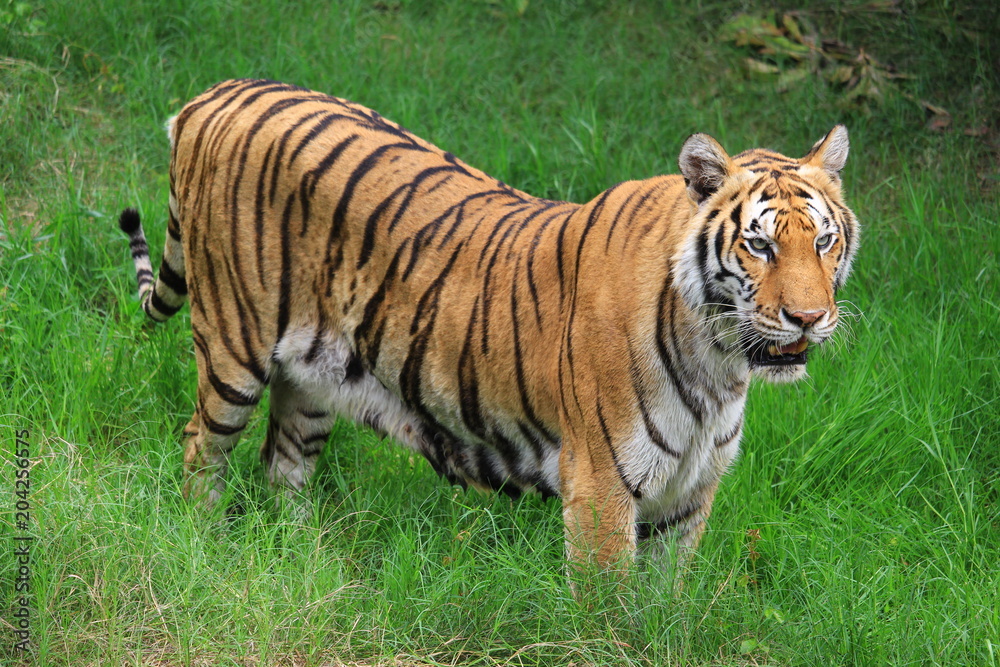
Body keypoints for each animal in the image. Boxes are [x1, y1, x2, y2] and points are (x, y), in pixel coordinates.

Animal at [121, 78, 860, 568]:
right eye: (759, 245)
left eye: (823, 241)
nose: (809, 317)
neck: (719, 361)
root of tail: (217, 93)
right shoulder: (603, 488)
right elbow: (613, 615)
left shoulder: (689, 495)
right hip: (233, 348)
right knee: (201, 446)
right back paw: (205, 544)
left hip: (312, 376)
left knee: (284, 465)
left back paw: (307, 558)